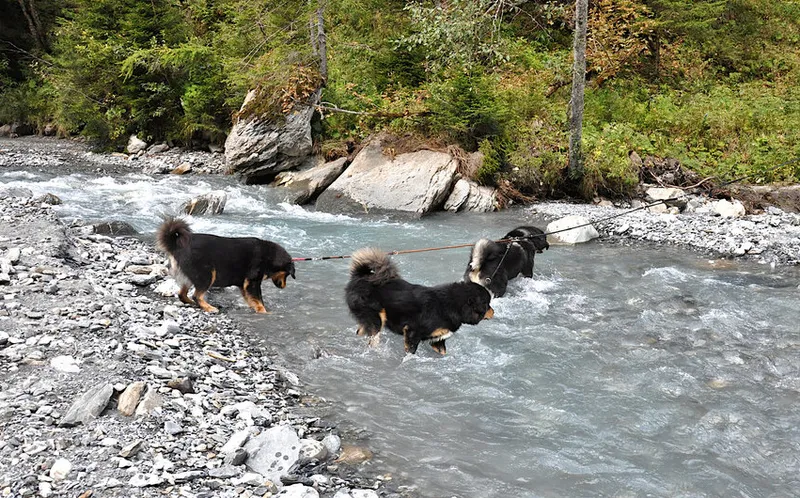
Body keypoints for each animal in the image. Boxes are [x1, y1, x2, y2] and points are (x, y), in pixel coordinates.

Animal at [156, 218, 295, 313]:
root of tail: (176, 246)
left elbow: (253, 299)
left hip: (191, 276)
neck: (269, 256)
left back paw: (193, 303)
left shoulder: (244, 285)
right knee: (196, 296)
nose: (284, 286)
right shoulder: (252, 283)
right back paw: (209, 307)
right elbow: (259, 300)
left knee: (182, 295)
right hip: (207, 274)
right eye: (287, 274)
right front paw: (264, 312)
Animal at [345, 248, 494, 355]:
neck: (453, 305)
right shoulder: (413, 331)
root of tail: (360, 277)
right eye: (487, 304)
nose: (494, 312)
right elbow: (411, 353)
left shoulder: (437, 340)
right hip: (377, 319)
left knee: (361, 332)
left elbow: (443, 353)